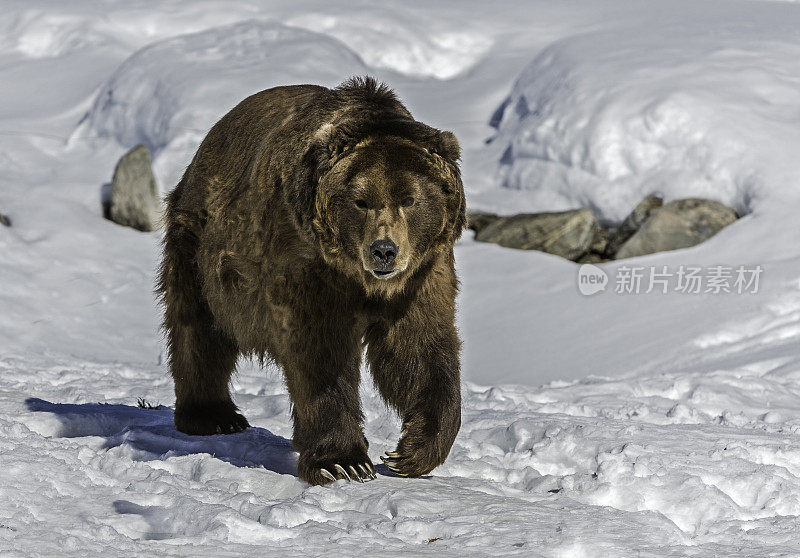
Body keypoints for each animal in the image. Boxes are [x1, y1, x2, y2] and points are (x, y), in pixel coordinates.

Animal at [157, 75, 466, 486]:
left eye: (410, 199)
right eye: (361, 201)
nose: (384, 250)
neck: (360, 279)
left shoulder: (422, 273)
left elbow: (419, 347)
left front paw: (411, 451)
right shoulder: (306, 264)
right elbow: (320, 353)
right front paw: (343, 461)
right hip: (201, 247)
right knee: (199, 327)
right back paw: (212, 415)